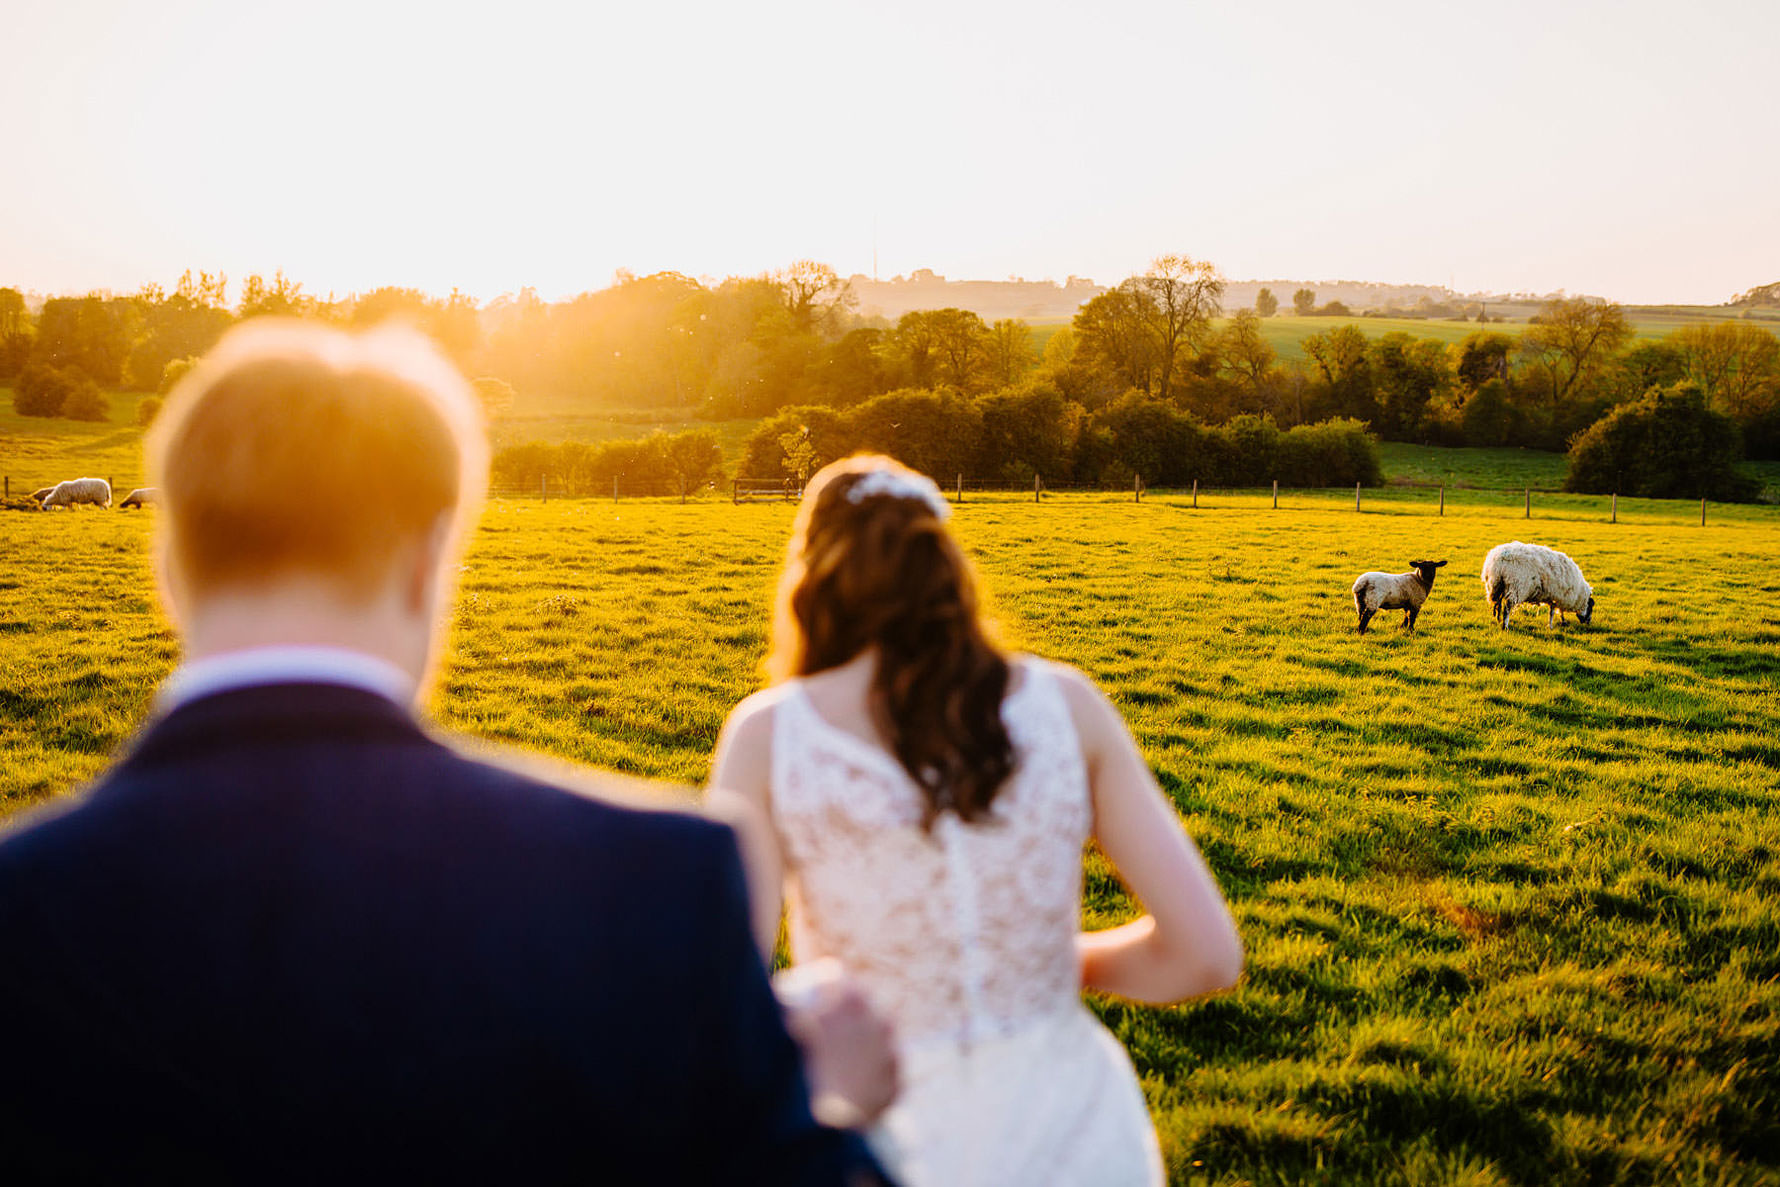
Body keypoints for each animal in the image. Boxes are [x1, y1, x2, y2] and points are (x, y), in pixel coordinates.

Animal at [1473, 541, 1602, 626]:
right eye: (1591, 607)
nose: (1588, 622)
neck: (1579, 594)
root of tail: (1497, 562)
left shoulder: (1554, 597)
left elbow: (1554, 611)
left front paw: (1560, 622)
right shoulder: (1559, 596)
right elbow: (1554, 612)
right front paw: (1553, 625)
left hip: (1496, 586)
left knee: (1498, 605)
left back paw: (1498, 620)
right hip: (1516, 587)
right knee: (1507, 608)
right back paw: (1505, 625)